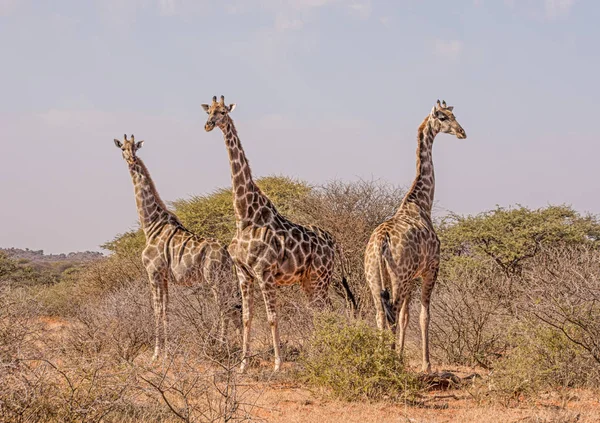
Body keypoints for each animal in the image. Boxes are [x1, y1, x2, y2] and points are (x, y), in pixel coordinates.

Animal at [113, 134, 240, 362]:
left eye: (134, 147)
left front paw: (156, 354)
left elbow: (156, 309)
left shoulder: (153, 272)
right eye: (123, 149)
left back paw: (219, 347)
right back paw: (238, 348)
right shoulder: (164, 277)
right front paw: (167, 351)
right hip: (226, 279)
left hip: (214, 278)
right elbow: (166, 309)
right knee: (234, 308)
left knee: (223, 308)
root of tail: (228, 254)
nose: (131, 159)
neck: (151, 225)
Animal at [200, 96, 356, 372]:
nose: (208, 125)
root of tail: (333, 243)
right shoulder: (243, 273)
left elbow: (272, 317)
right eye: (209, 111)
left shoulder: (265, 273)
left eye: (223, 112)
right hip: (309, 281)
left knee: (324, 311)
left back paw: (321, 355)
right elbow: (247, 317)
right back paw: (317, 355)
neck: (245, 216)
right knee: (320, 311)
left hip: (321, 277)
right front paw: (242, 365)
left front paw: (277, 364)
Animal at [364, 101, 466, 372]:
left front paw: (400, 356)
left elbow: (406, 317)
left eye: (453, 114)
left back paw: (382, 359)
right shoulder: (431, 268)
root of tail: (381, 242)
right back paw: (388, 363)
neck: (421, 203)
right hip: (398, 277)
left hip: (374, 278)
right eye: (443, 117)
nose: (462, 132)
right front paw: (426, 364)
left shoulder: (410, 278)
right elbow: (423, 315)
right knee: (391, 313)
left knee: (381, 314)